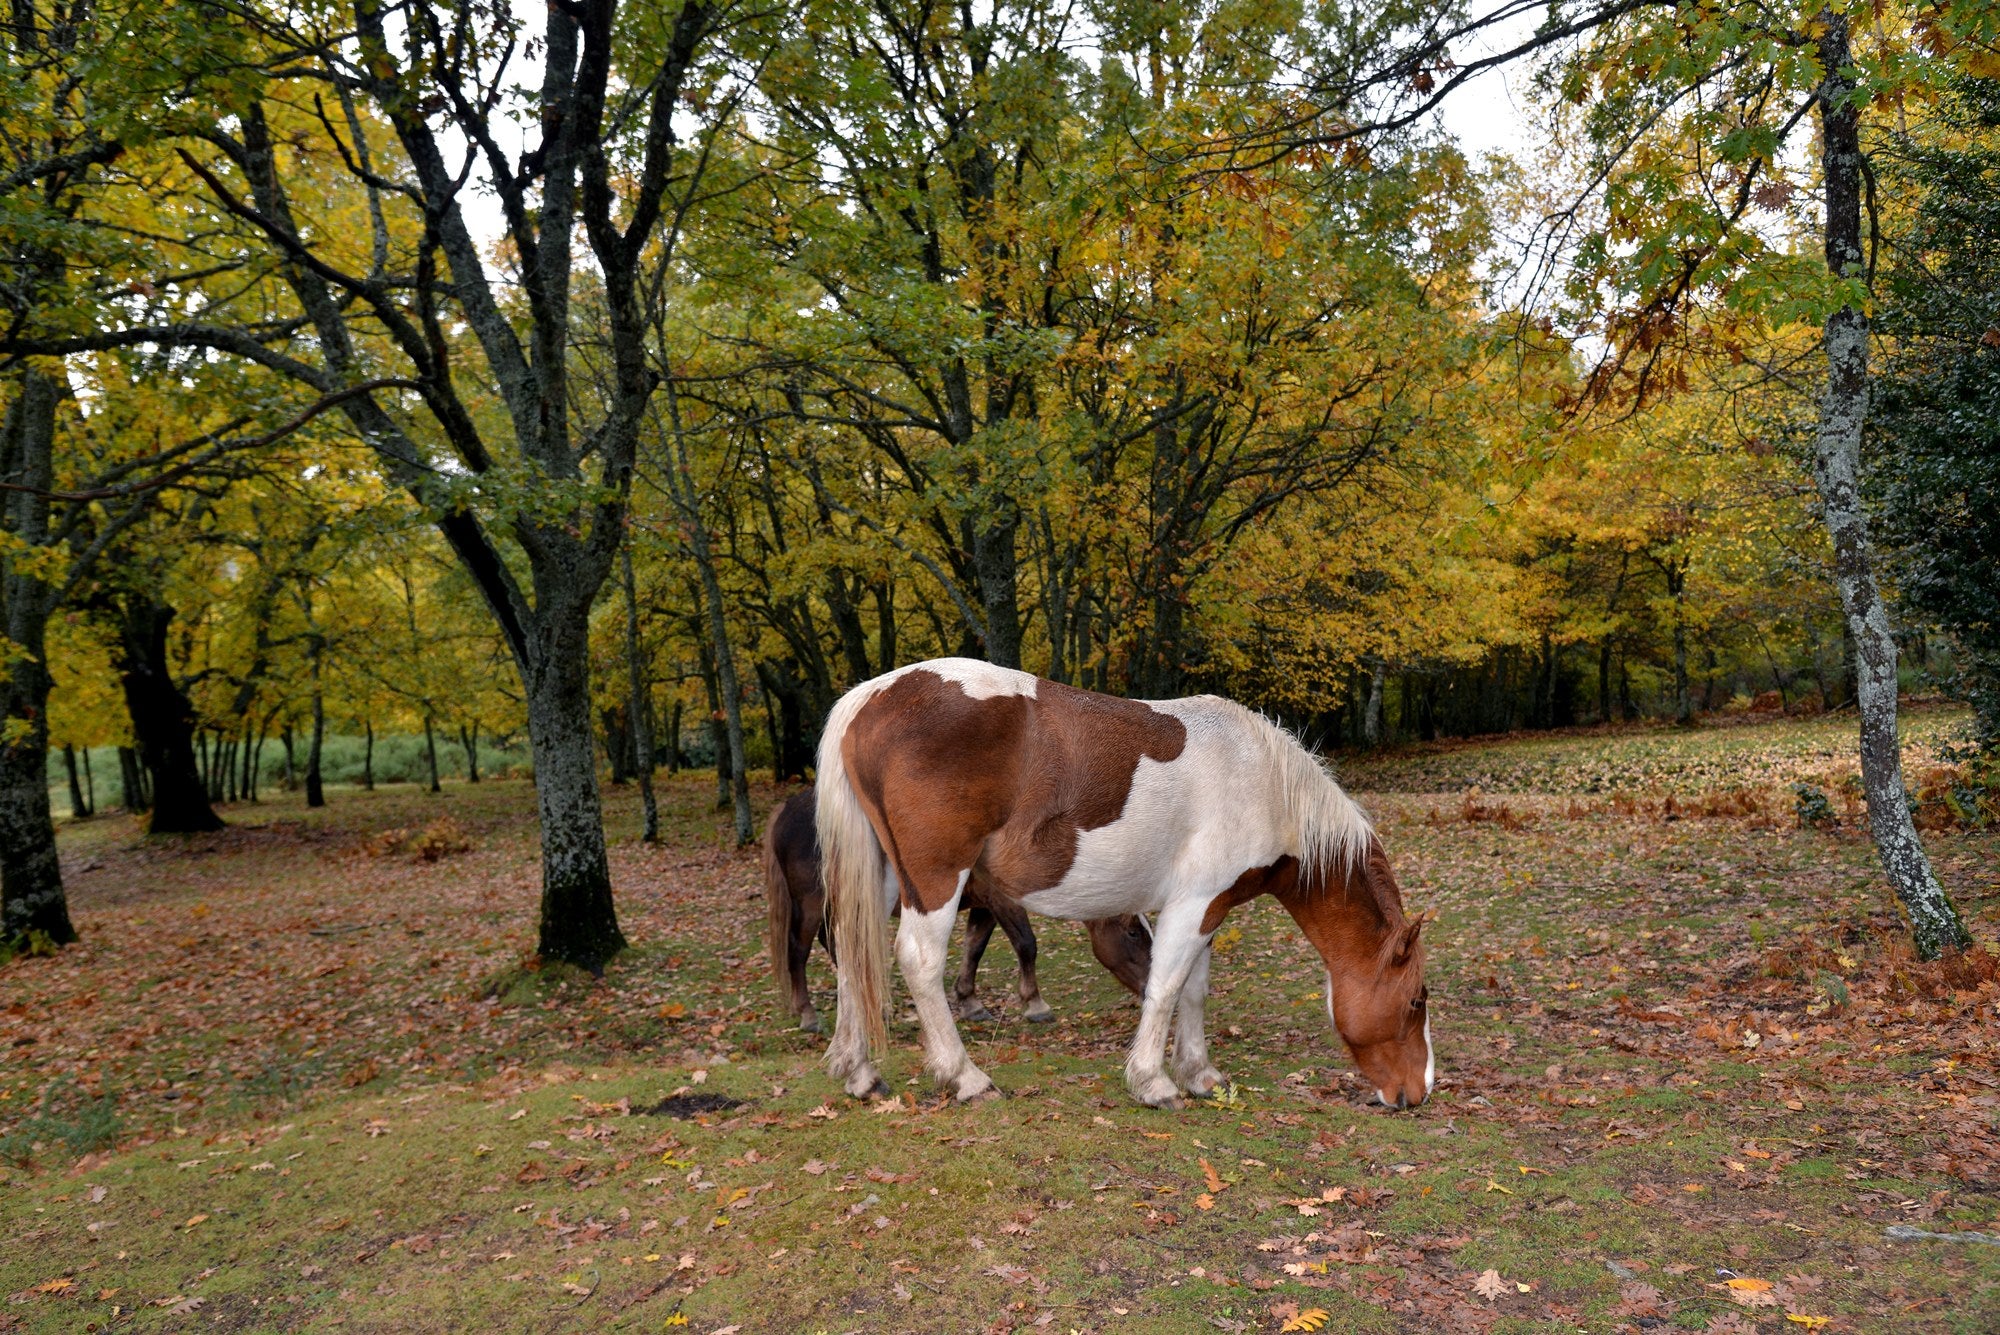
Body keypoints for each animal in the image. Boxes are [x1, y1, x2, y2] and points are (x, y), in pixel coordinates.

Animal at [756, 787, 1152, 1039]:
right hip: (810, 904)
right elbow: (1027, 944)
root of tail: (786, 809)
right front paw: (1035, 1004)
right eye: (1133, 931)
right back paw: (808, 1013)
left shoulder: (984, 906)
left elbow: (974, 949)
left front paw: (969, 1001)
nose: (1151, 988)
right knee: (799, 951)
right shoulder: (1004, 902)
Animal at [816, 655, 1440, 1103]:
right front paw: (1153, 1081)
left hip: (883, 878)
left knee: (851, 953)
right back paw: (965, 1077)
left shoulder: (1207, 908)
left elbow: (1193, 988)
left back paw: (858, 1073)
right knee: (918, 961)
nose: (1419, 1093)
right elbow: (1166, 987)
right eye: (1416, 1000)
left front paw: (1200, 1074)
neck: (1261, 782)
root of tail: (869, 698)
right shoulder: (1196, 904)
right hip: (937, 880)